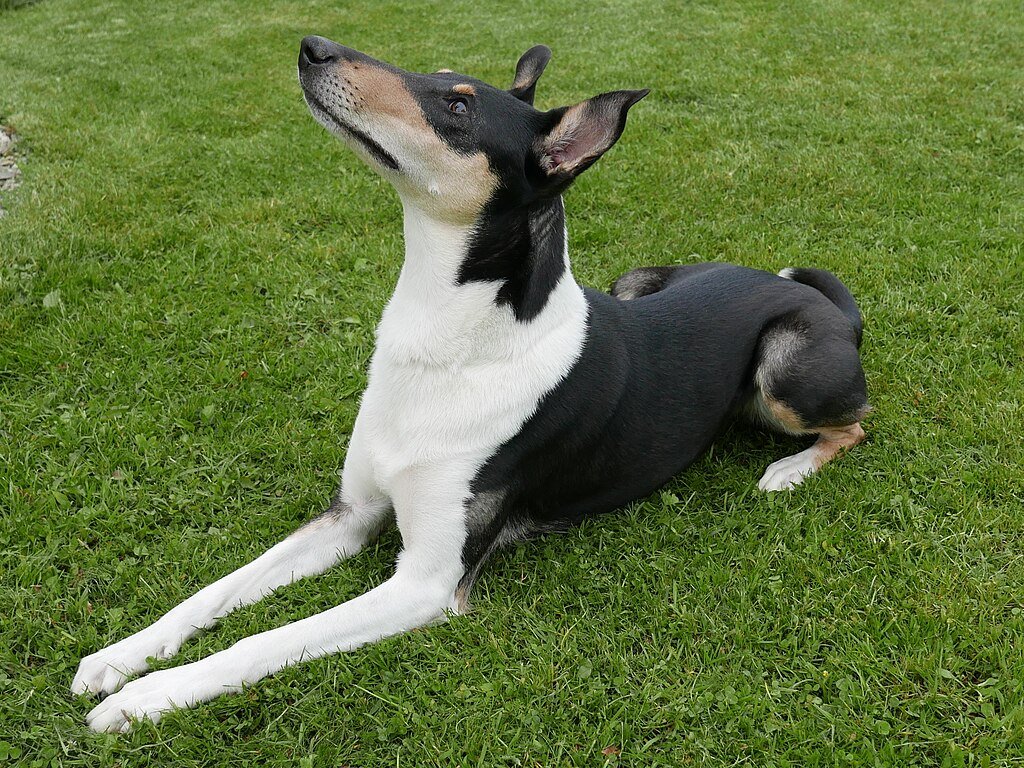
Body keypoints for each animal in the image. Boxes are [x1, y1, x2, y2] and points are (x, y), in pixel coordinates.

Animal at [75, 37, 868, 733]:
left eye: (458, 106)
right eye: (437, 75)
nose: (312, 46)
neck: (449, 343)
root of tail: (821, 300)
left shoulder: (425, 581)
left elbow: (263, 640)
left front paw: (147, 698)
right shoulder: (350, 514)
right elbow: (217, 591)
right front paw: (121, 657)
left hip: (785, 368)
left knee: (855, 422)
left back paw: (791, 469)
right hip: (638, 278)